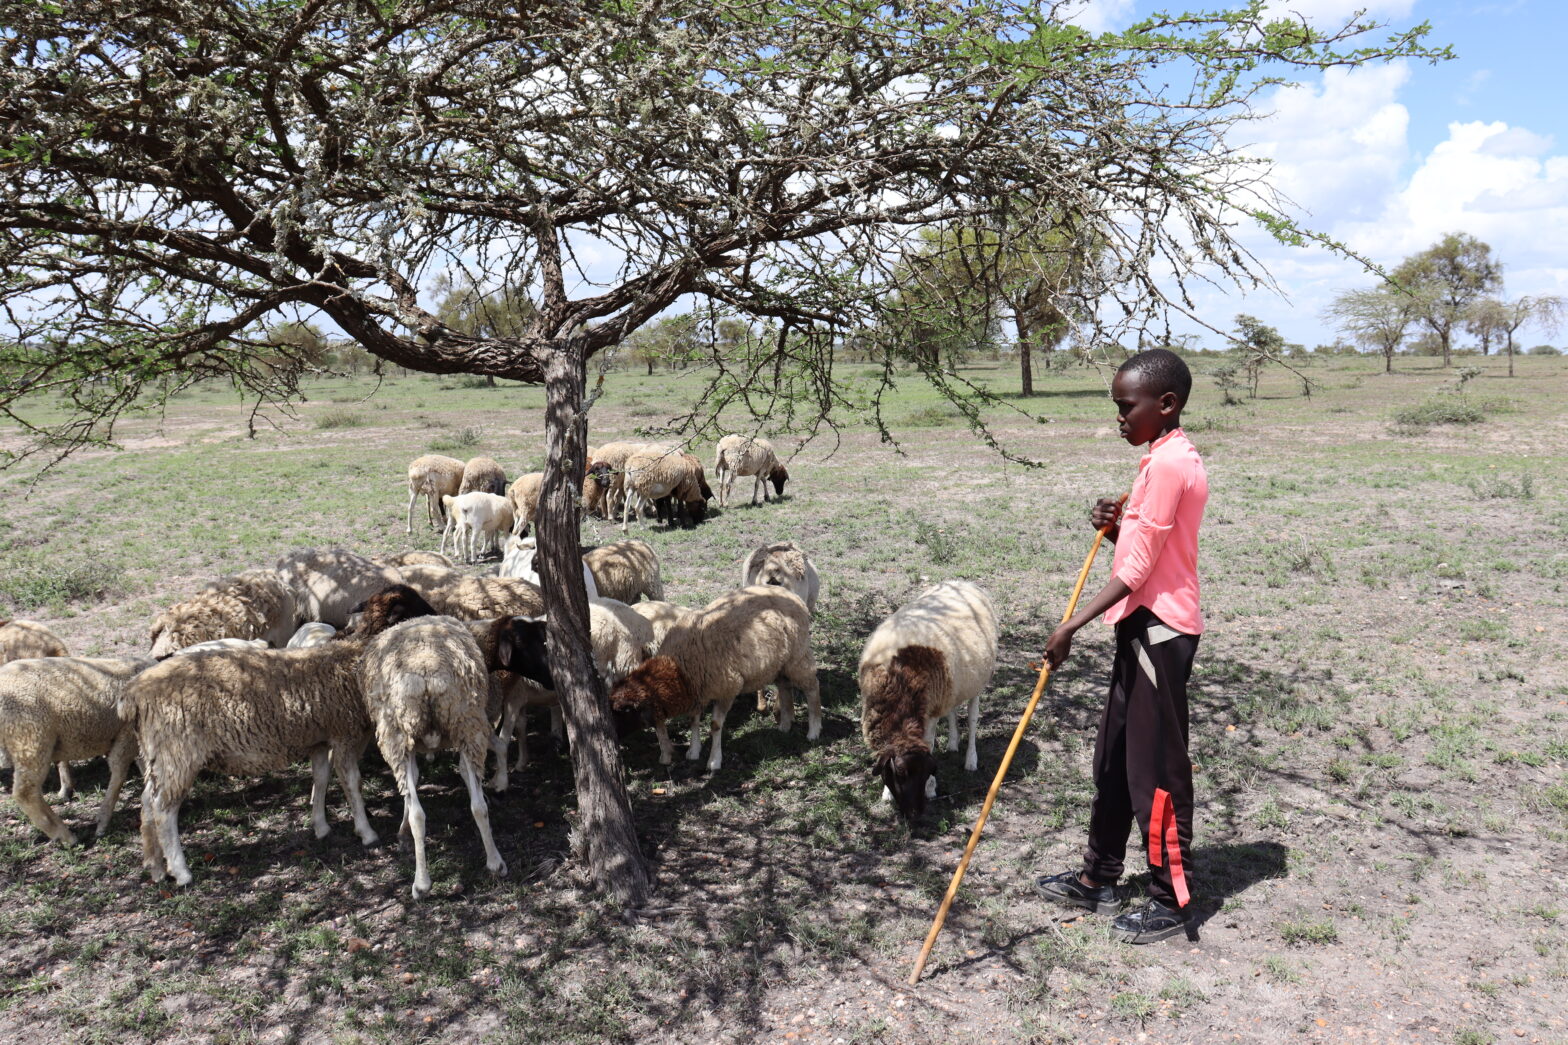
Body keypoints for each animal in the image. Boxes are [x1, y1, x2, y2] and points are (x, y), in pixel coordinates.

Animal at [0, 655, 155, 845]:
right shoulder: (127, 734)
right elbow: (119, 773)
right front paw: (102, 822)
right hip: (30, 738)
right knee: (26, 792)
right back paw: (65, 836)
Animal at [359, 616, 505, 899]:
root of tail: (428, 672)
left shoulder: (406, 744)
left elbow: (411, 788)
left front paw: (402, 833)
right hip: (466, 723)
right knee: (477, 805)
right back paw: (495, 861)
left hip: (397, 732)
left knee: (419, 814)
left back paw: (421, 884)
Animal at [609, 586, 819, 771]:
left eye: (624, 711)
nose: (615, 737)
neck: (679, 668)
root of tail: (789, 593)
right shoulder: (698, 691)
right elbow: (693, 720)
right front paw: (693, 751)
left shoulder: (727, 688)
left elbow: (715, 725)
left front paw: (714, 761)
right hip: (779, 663)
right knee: (784, 686)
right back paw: (785, 724)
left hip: (797, 655)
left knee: (812, 687)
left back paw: (814, 731)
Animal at [858, 580, 998, 821]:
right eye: (900, 772)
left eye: (928, 771)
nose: (916, 813)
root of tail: (962, 581)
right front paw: (886, 794)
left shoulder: (930, 713)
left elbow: (931, 744)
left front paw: (931, 789)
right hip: (951, 687)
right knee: (952, 711)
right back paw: (952, 743)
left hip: (975, 685)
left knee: (972, 721)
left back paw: (971, 760)